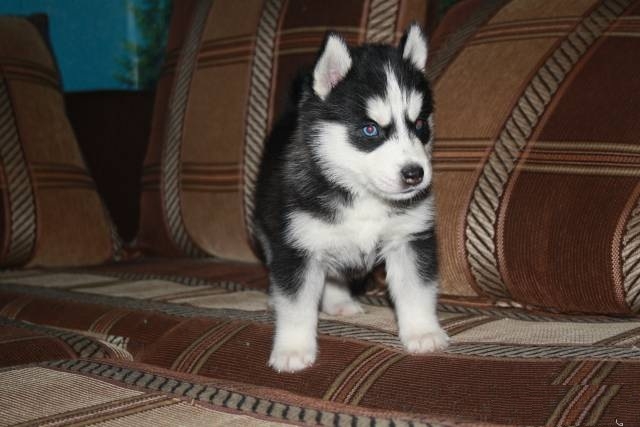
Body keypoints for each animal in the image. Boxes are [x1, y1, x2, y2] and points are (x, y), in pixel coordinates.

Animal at [252, 23, 448, 372]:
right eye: (370, 130)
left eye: (420, 124)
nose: (415, 174)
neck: (362, 194)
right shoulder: (298, 246)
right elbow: (296, 305)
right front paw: (292, 349)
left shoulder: (410, 238)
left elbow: (416, 290)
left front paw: (423, 332)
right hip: (270, 228)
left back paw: (340, 302)